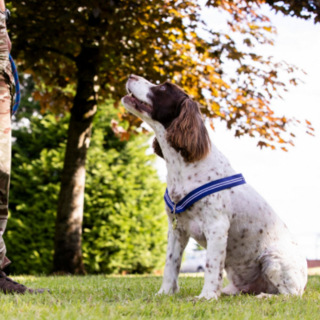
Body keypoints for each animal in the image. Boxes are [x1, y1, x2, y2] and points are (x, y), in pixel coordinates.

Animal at [121, 75, 306, 300]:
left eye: (164, 88)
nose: (131, 76)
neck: (183, 167)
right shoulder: (176, 229)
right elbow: (170, 265)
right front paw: (164, 293)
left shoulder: (217, 227)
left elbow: (210, 266)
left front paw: (206, 297)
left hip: (273, 258)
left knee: (291, 293)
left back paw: (265, 296)